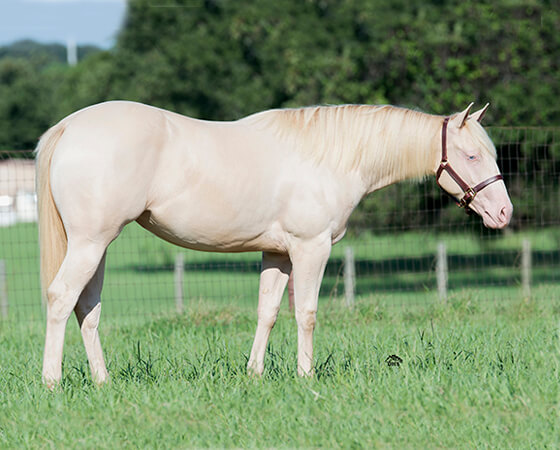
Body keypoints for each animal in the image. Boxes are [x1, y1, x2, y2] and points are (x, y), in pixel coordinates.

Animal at [36, 102, 512, 386]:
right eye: (472, 155)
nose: (504, 213)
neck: (330, 156)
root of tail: (70, 126)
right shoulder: (310, 248)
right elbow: (306, 314)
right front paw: (306, 377)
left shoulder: (278, 254)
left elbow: (266, 312)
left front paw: (255, 374)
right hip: (90, 243)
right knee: (61, 299)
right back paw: (52, 382)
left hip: (96, 246)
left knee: (87, 308)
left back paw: (103, 381)